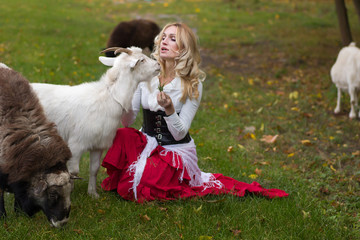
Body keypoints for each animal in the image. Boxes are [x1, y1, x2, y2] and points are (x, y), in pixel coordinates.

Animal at [31, 46, 160, 197]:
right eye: (142, 60)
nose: (158, 65)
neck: (109, 96)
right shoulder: (76, 144)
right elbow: (73, 171)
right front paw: (70, 191)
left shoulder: (98, 144)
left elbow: (94, 169)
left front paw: (93, 194)